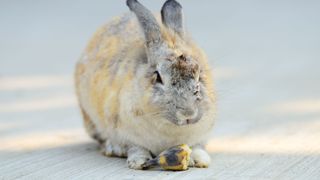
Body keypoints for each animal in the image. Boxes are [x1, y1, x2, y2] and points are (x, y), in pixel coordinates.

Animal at [74, 0, 216, 169]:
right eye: (158, 77)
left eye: (199, 73)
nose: (188, 114)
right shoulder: (129, 135)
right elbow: (136, 148)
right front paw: (138, 162)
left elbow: (197, 147)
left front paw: (201, 160)